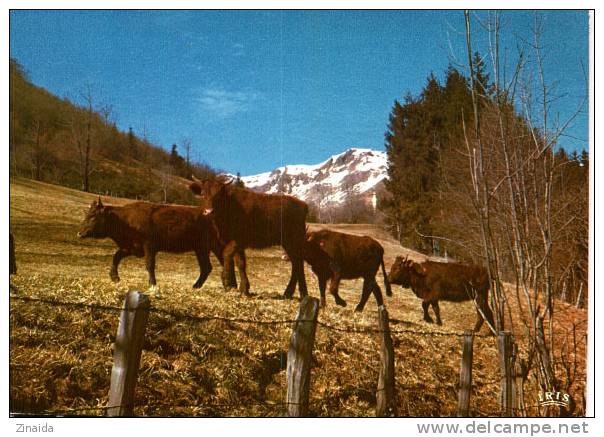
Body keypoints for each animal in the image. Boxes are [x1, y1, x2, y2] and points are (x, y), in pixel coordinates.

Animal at [76, 198, 236, 290]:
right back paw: (220, 286)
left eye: (93, 216)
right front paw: (114, 277)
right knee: (213, 265)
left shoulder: (149, 246)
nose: (79, 233)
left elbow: (149, 265)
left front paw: (152, 284)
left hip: (208, 247)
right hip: (204, 248)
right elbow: (116, 256)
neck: (124, 221)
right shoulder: (132, 247)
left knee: (218, 264)